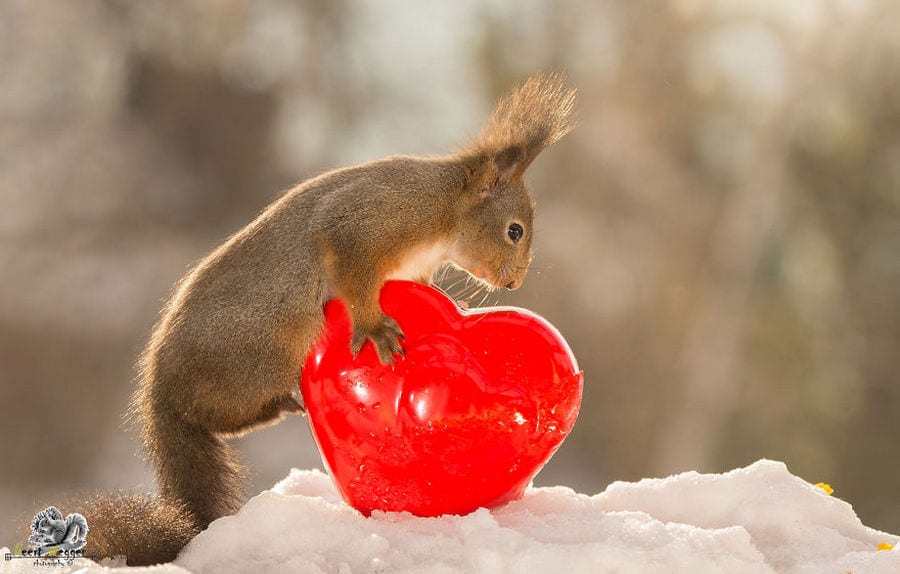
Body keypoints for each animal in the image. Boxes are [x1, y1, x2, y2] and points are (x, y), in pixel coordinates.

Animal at [68, 73, 576, 568]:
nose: (513, 284)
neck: (442, 209)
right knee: (210, 413)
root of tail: (161, 386)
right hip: (262, 353)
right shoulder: (363, 226)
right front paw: (374, 328)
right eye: (515, 231)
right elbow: (353, 276)